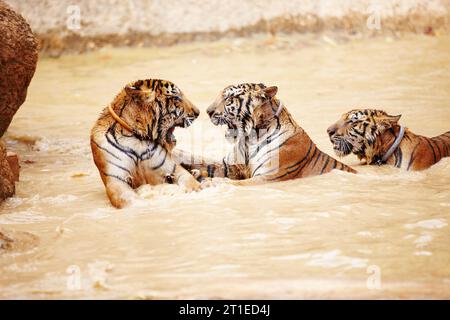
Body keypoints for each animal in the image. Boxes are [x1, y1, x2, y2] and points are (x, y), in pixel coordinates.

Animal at [91, 77, 200, 208]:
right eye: (176, 97)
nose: (198, 112)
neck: (136, 136)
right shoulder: (116, 179)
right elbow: (127, 199)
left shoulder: (173, 169)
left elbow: (190, 182)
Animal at [175, 82, 356, 186]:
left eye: (229, 99)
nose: (208, 111)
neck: (249, 138)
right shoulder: (233, 165)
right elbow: (204, 162)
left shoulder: (267, 177)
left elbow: (235, 184)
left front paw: (211, 181)